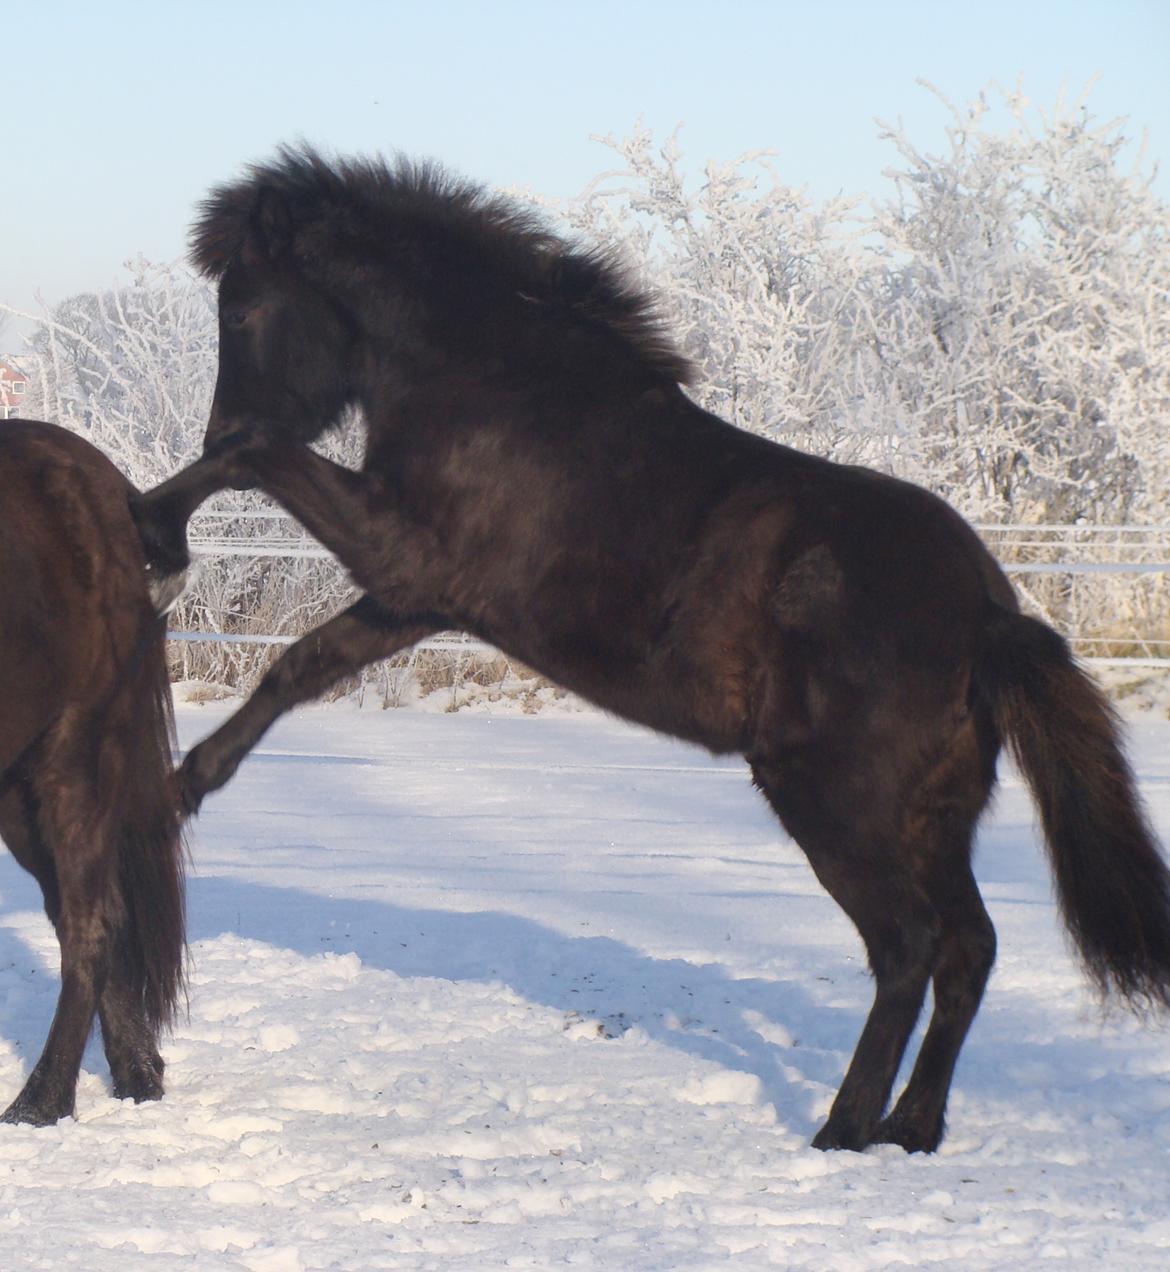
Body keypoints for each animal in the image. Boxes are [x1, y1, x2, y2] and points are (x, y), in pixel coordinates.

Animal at [134, 146, 1170, 1154]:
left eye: (240, 307)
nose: (216, 415)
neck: (498, 384)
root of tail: (990, 613)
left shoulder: (396, 546)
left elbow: (253, 461)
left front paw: (156, 535)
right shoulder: (413, 595)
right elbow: (297, 666)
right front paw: (184, 785)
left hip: (837, 804)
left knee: (909, 949)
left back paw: (844, 1128)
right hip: (933, 818)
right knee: (969, 948)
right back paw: (912, 1130)